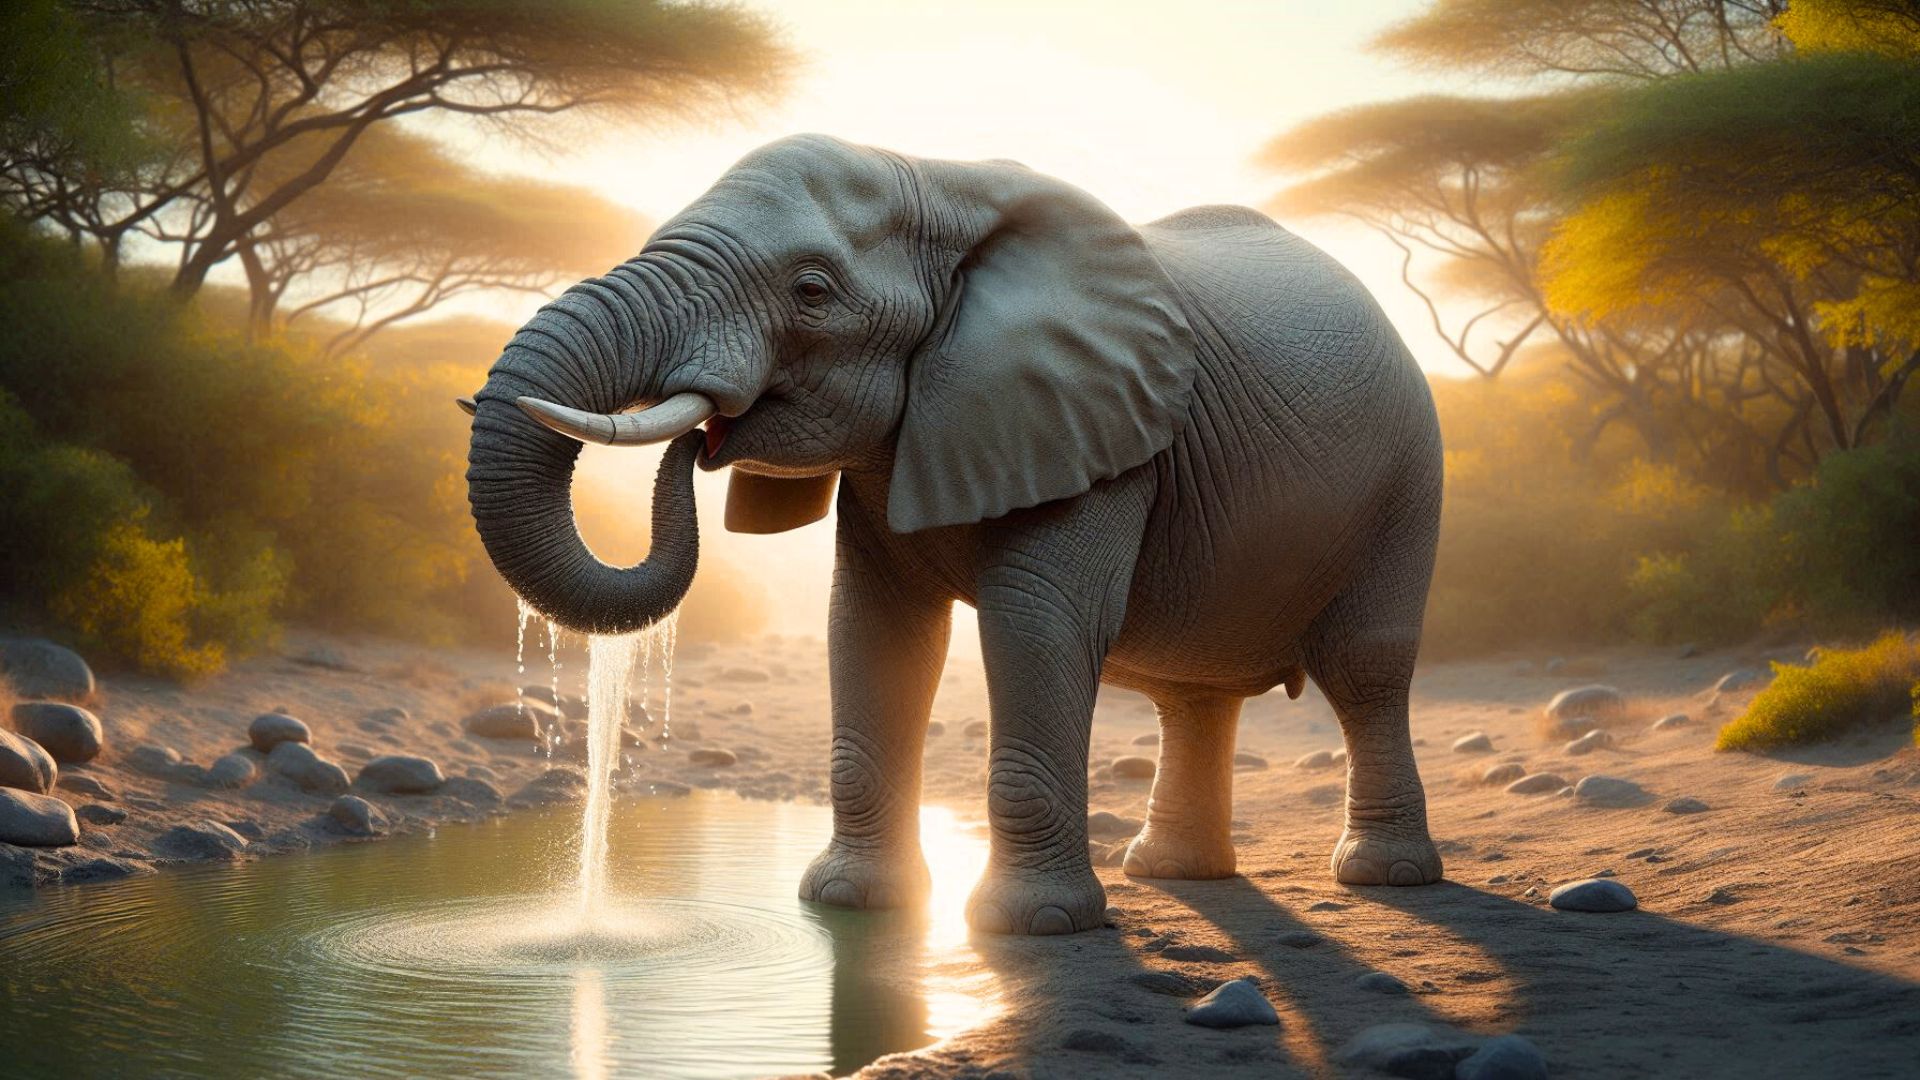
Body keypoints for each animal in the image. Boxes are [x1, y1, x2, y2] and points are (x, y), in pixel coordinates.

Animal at [464, 135, 1444, 936]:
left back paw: (1385, 878)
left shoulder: (1101, 433)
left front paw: (1037, 928)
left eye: (811, 291)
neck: (939, 178)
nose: (699, 441)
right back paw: (1175, 873)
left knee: (1364, 664)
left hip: (1410, 473)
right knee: (1191, 695)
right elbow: (874, 627)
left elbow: (1034, 623)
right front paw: (849, 904)